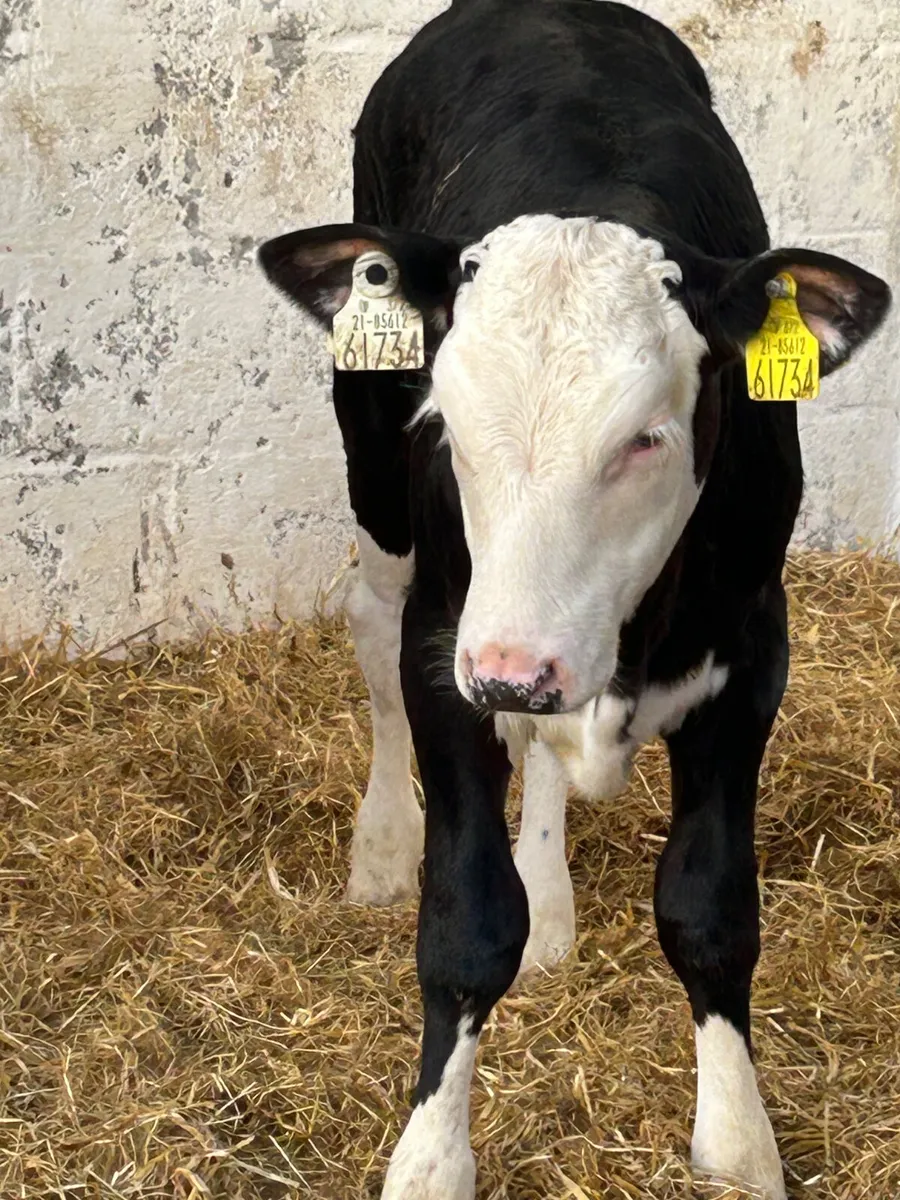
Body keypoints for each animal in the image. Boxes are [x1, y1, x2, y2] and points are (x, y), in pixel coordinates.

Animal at [257, 2, 891, 1197]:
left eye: (646, 436)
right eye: (444, 414)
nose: (512, 667)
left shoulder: (751, 652)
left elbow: (709, 911)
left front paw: (739, 1142)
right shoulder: (445, 651)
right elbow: (464, 925)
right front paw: (430, 1159)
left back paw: (550, 895)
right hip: (381, 489)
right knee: (369, 626)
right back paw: (380, 844)